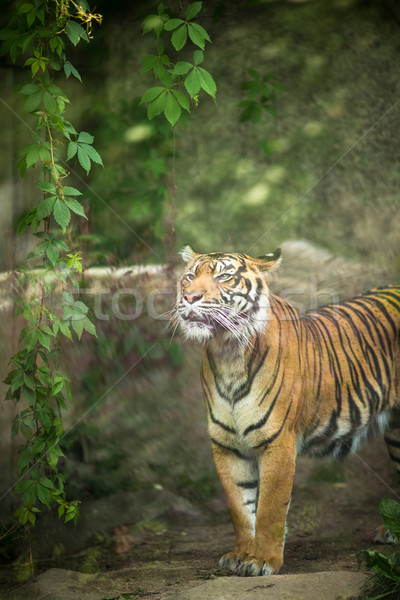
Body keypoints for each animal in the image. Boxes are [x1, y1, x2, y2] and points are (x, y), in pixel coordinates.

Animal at [175, 244, 400, 576]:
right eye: (190, 276)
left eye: (224, 276)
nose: (190, 297)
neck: (227, 352)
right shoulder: (226, 446)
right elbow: (239, 508)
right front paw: (240, 555)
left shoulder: (277, 442)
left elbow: (270, 508)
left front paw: (262, 560)